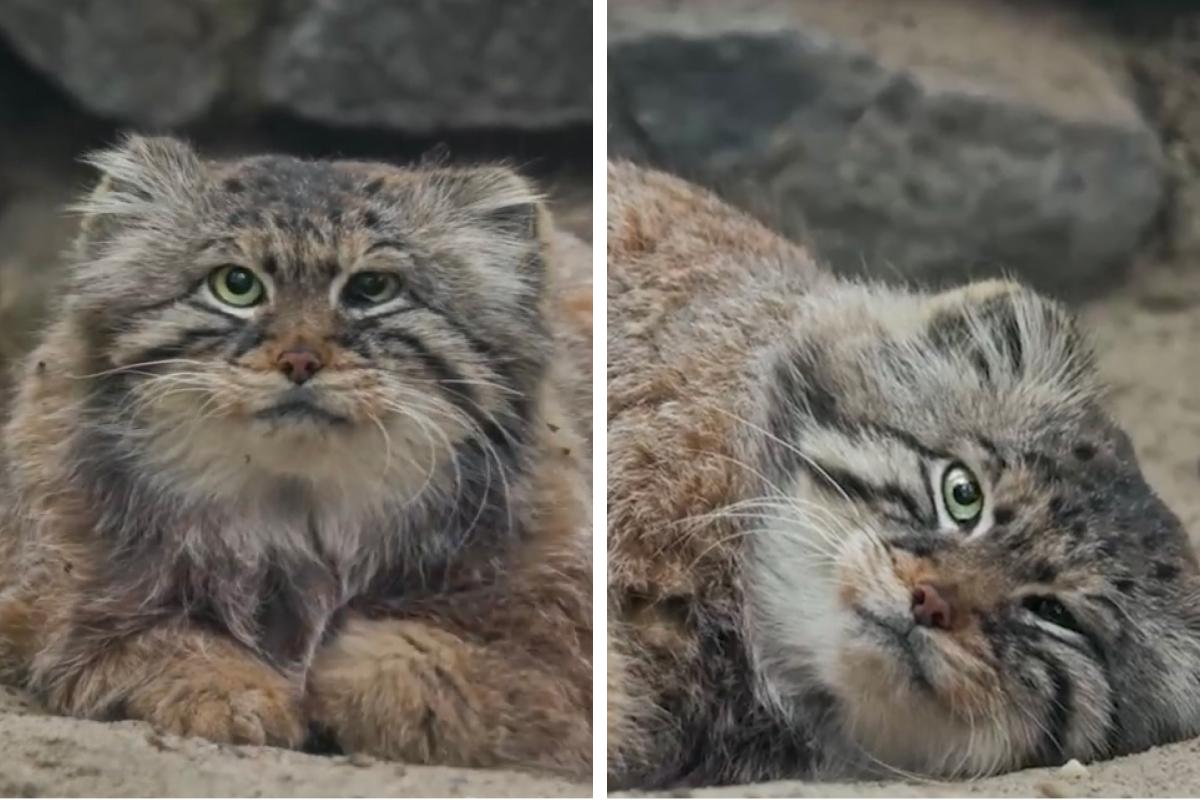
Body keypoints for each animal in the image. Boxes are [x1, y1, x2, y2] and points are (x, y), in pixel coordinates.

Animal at [0, 136, 595, 777]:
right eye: (236, 284)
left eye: (372, 289)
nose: (301, 360)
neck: (296, 516)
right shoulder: (55, 596)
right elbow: (139, 640)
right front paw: (239, 692)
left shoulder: (570, 666)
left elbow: (418, 672)